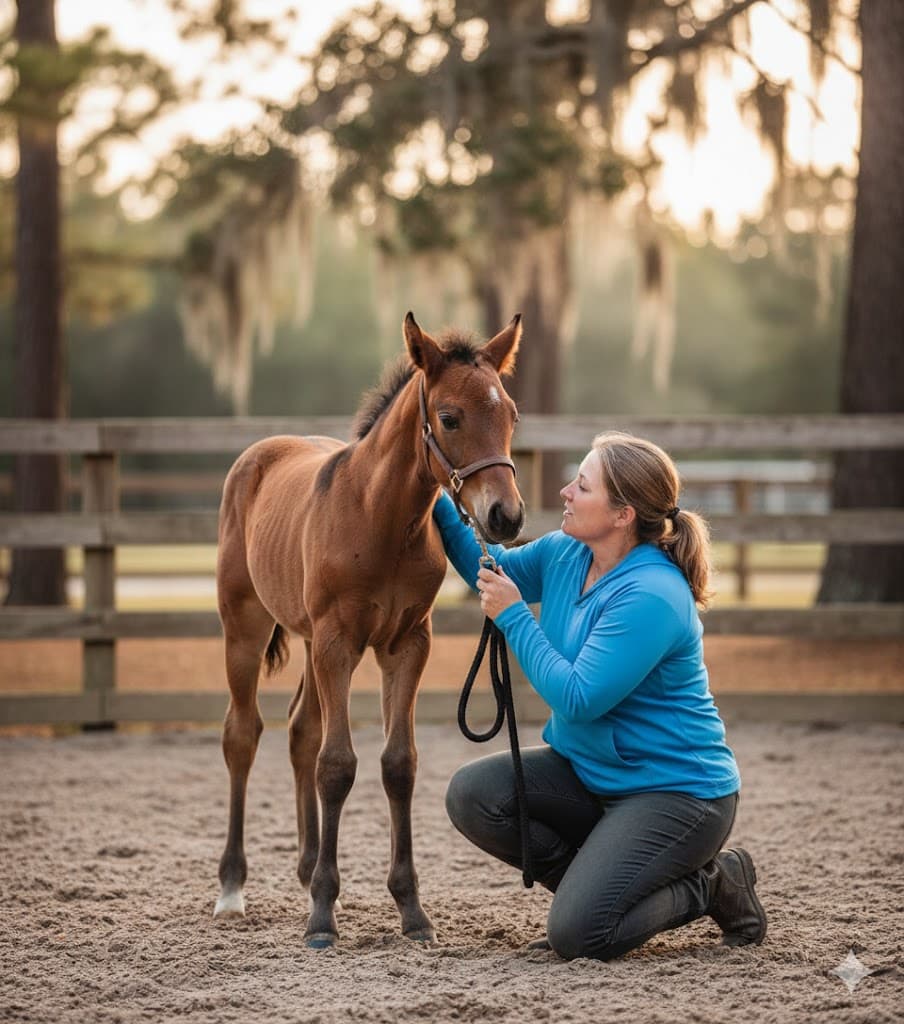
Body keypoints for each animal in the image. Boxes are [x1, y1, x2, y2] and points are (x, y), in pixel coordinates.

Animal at [213, 312, 525, 948]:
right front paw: (322, 917)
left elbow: (396, 764)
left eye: (510, 414)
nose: (505, 517)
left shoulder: (406, 644)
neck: (379, 518)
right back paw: (232, 887)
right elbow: (338, 766)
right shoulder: (338, 641)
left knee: (300, 730)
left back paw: (308, 867)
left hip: (309, 639)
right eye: (449, 417)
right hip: (246, 625)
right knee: (243, 734)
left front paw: (411, 911)